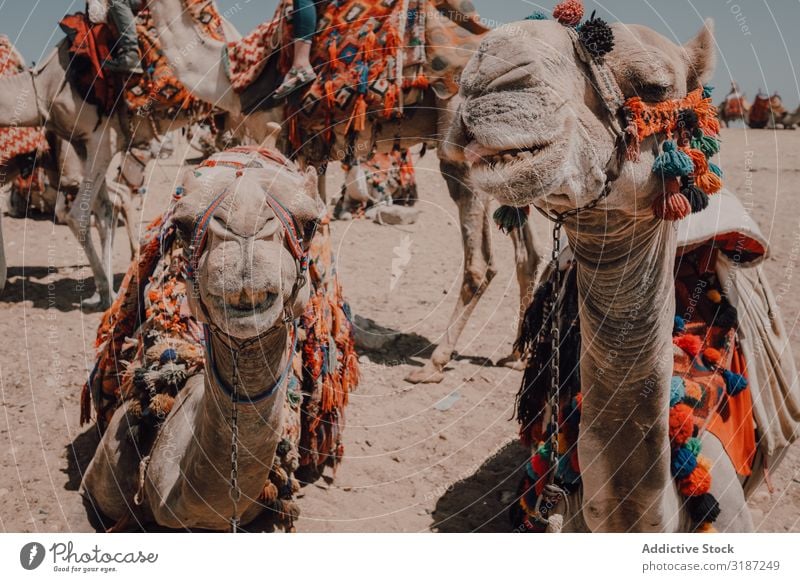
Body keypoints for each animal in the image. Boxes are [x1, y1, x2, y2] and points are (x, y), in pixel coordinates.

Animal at [144, 0, 544, 384]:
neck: (229, 76)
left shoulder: (283, 140)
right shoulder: (312, 155)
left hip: (460, 145)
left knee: (481, 264)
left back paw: (435, 364)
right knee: (528, 254)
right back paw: (515, 355)